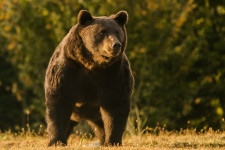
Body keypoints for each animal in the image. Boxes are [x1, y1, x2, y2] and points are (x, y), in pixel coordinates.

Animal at [44, 9, 134, 146]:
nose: (116, 45)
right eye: (102, 32)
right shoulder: (67, 70)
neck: (93, 64)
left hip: (97, 115)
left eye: (117, 31)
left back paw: (103, 140)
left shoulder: (114, 74)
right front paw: (56, 141)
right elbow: (58, 102)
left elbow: (115, 105)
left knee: (101, 126)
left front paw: (112, 141)